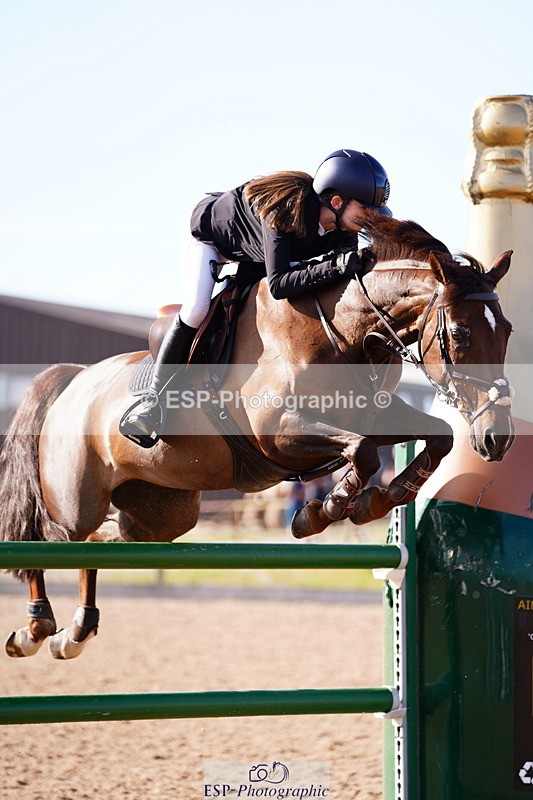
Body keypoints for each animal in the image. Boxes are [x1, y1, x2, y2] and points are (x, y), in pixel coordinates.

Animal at [0, 210, 514, 659]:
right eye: (462, 334)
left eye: (507, 331)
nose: (498, 438)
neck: (344, 332)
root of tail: (73, 378)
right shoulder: (280, 435)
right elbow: (364, 452)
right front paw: (327, 508)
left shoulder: (372, 416)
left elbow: (437, 437)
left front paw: (377, 500)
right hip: (75, 501)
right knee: (53, 537)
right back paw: (35, 628)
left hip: (161, 513)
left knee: (100, 541)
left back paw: (75, 632)